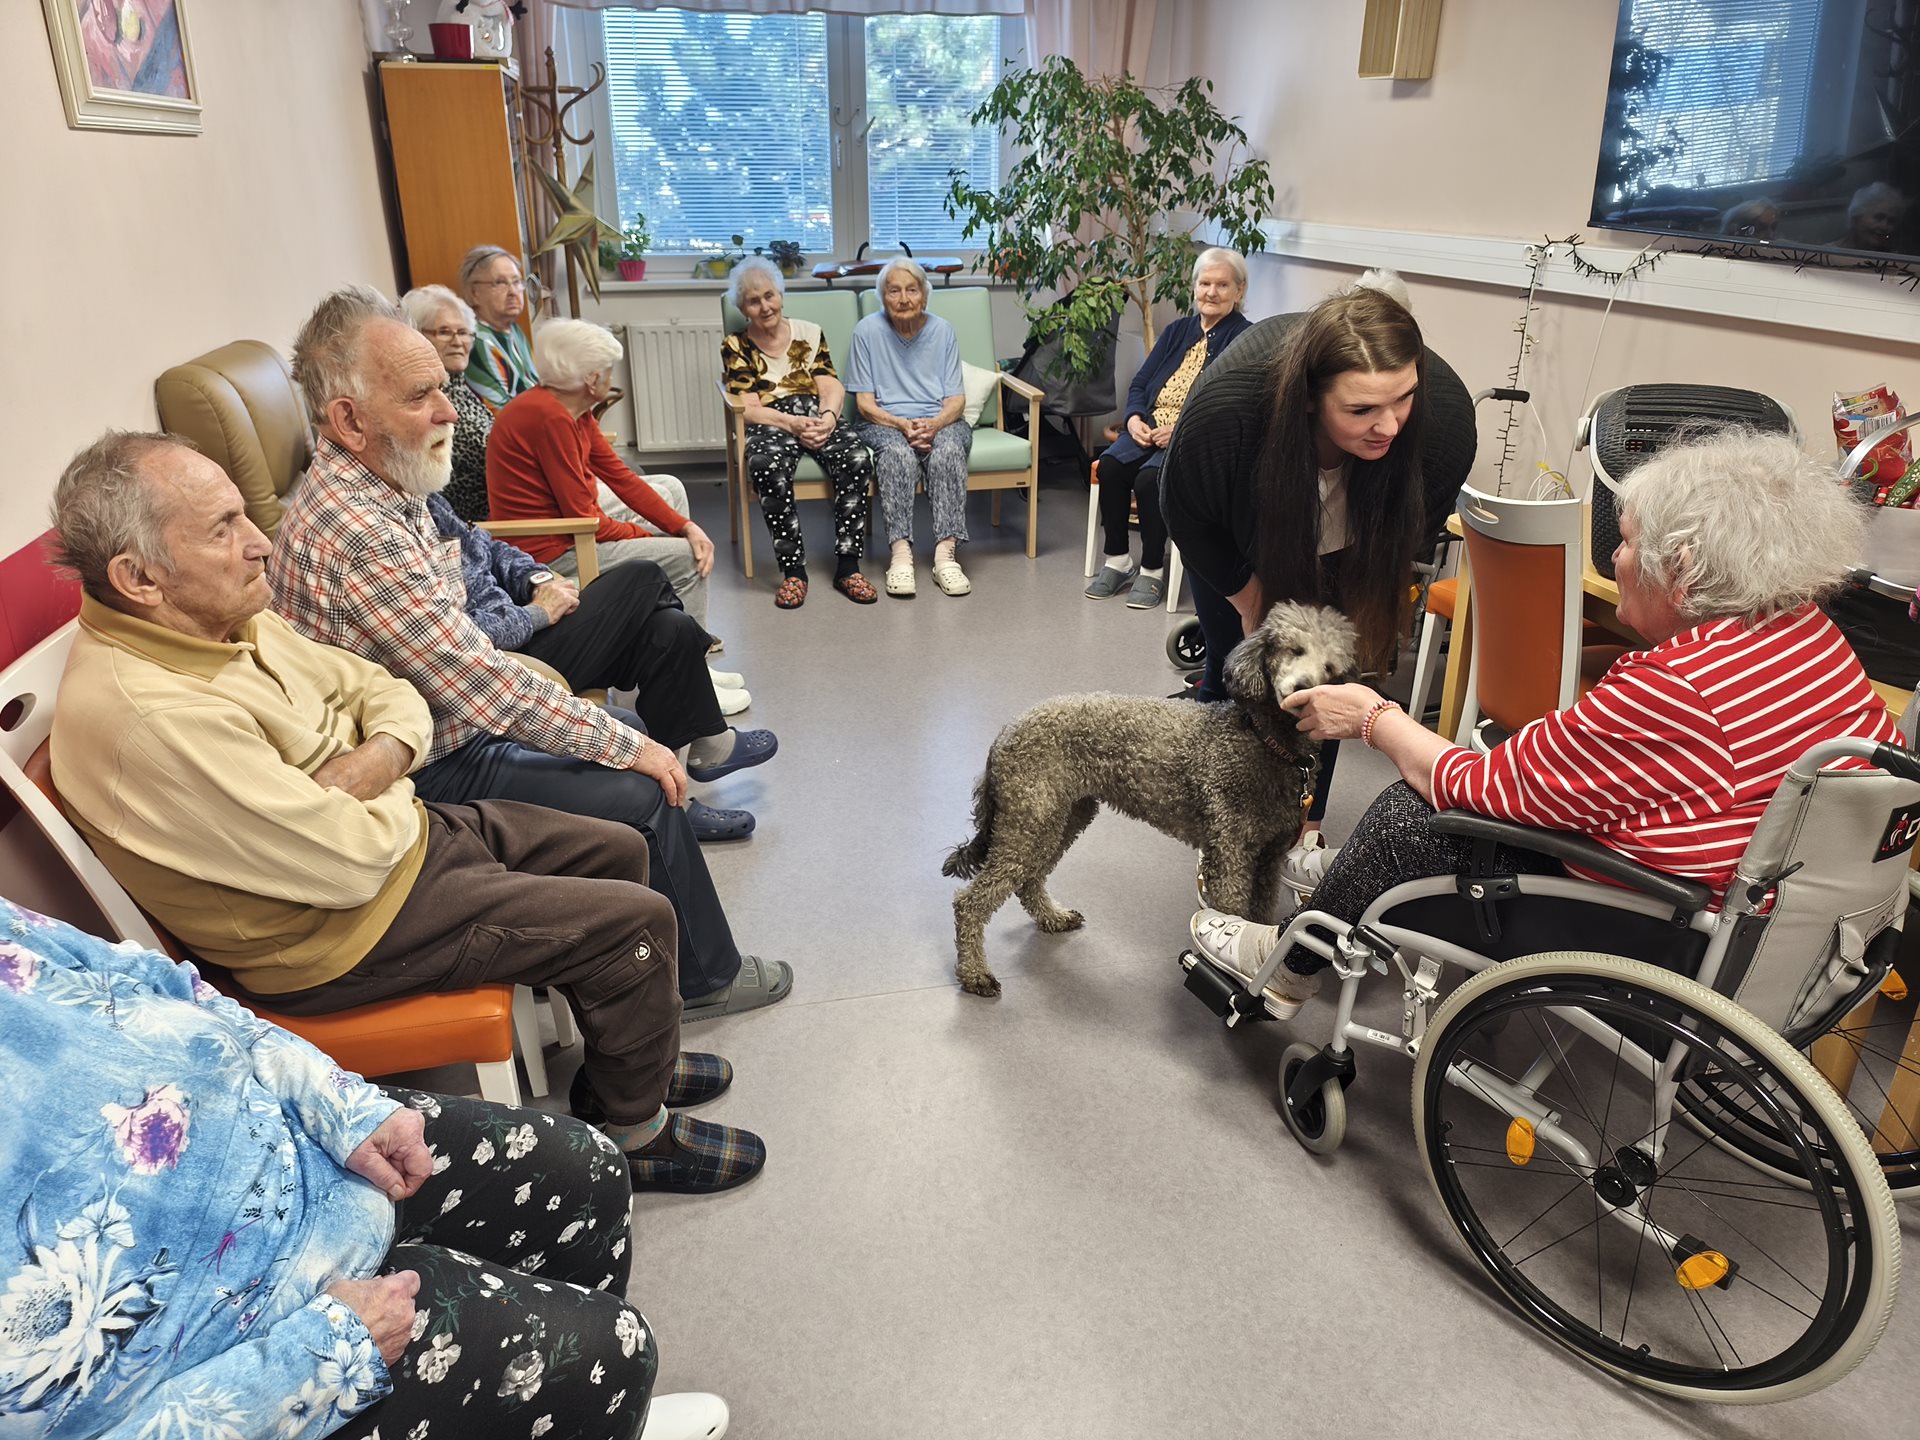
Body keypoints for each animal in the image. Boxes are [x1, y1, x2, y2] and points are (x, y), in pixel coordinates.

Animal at [942, 602, 1359, 997]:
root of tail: (1004, 734)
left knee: (1028, 881)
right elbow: (1233, 910)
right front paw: (1226, 972)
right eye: (1293, 649)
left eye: (1330, 667)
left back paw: (1052, 918)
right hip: (1031, 824)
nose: (1302, 688)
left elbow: (1261, 911)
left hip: (1061, 820)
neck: (1268, 742)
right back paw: (975, 974)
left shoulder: (1269, 858)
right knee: (972, 902)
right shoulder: (1232, 857)